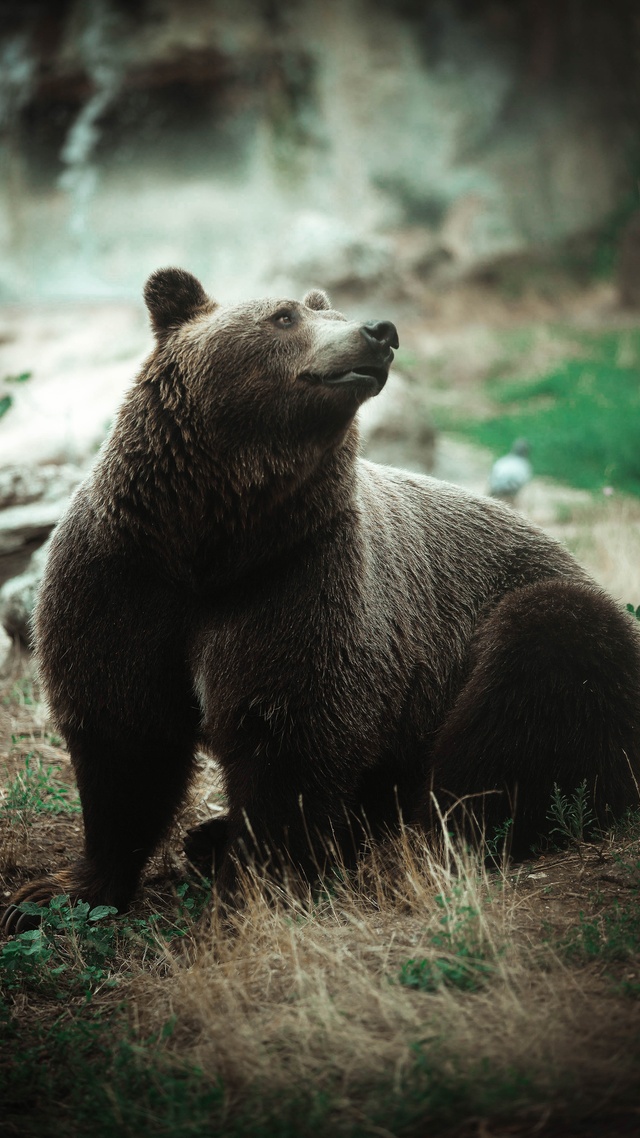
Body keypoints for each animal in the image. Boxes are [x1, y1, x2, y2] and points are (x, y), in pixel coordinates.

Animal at [3, 268, 637, 933]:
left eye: (325, 310)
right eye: (284, 315)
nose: (380, 331)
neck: (213, 541)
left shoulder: (301, 583)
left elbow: (289, 739)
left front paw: (251, 893)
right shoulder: (124, 580)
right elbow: (124, 742)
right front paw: (51, 895)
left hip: (530, 624)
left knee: (534, 681)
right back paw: (210, 837)